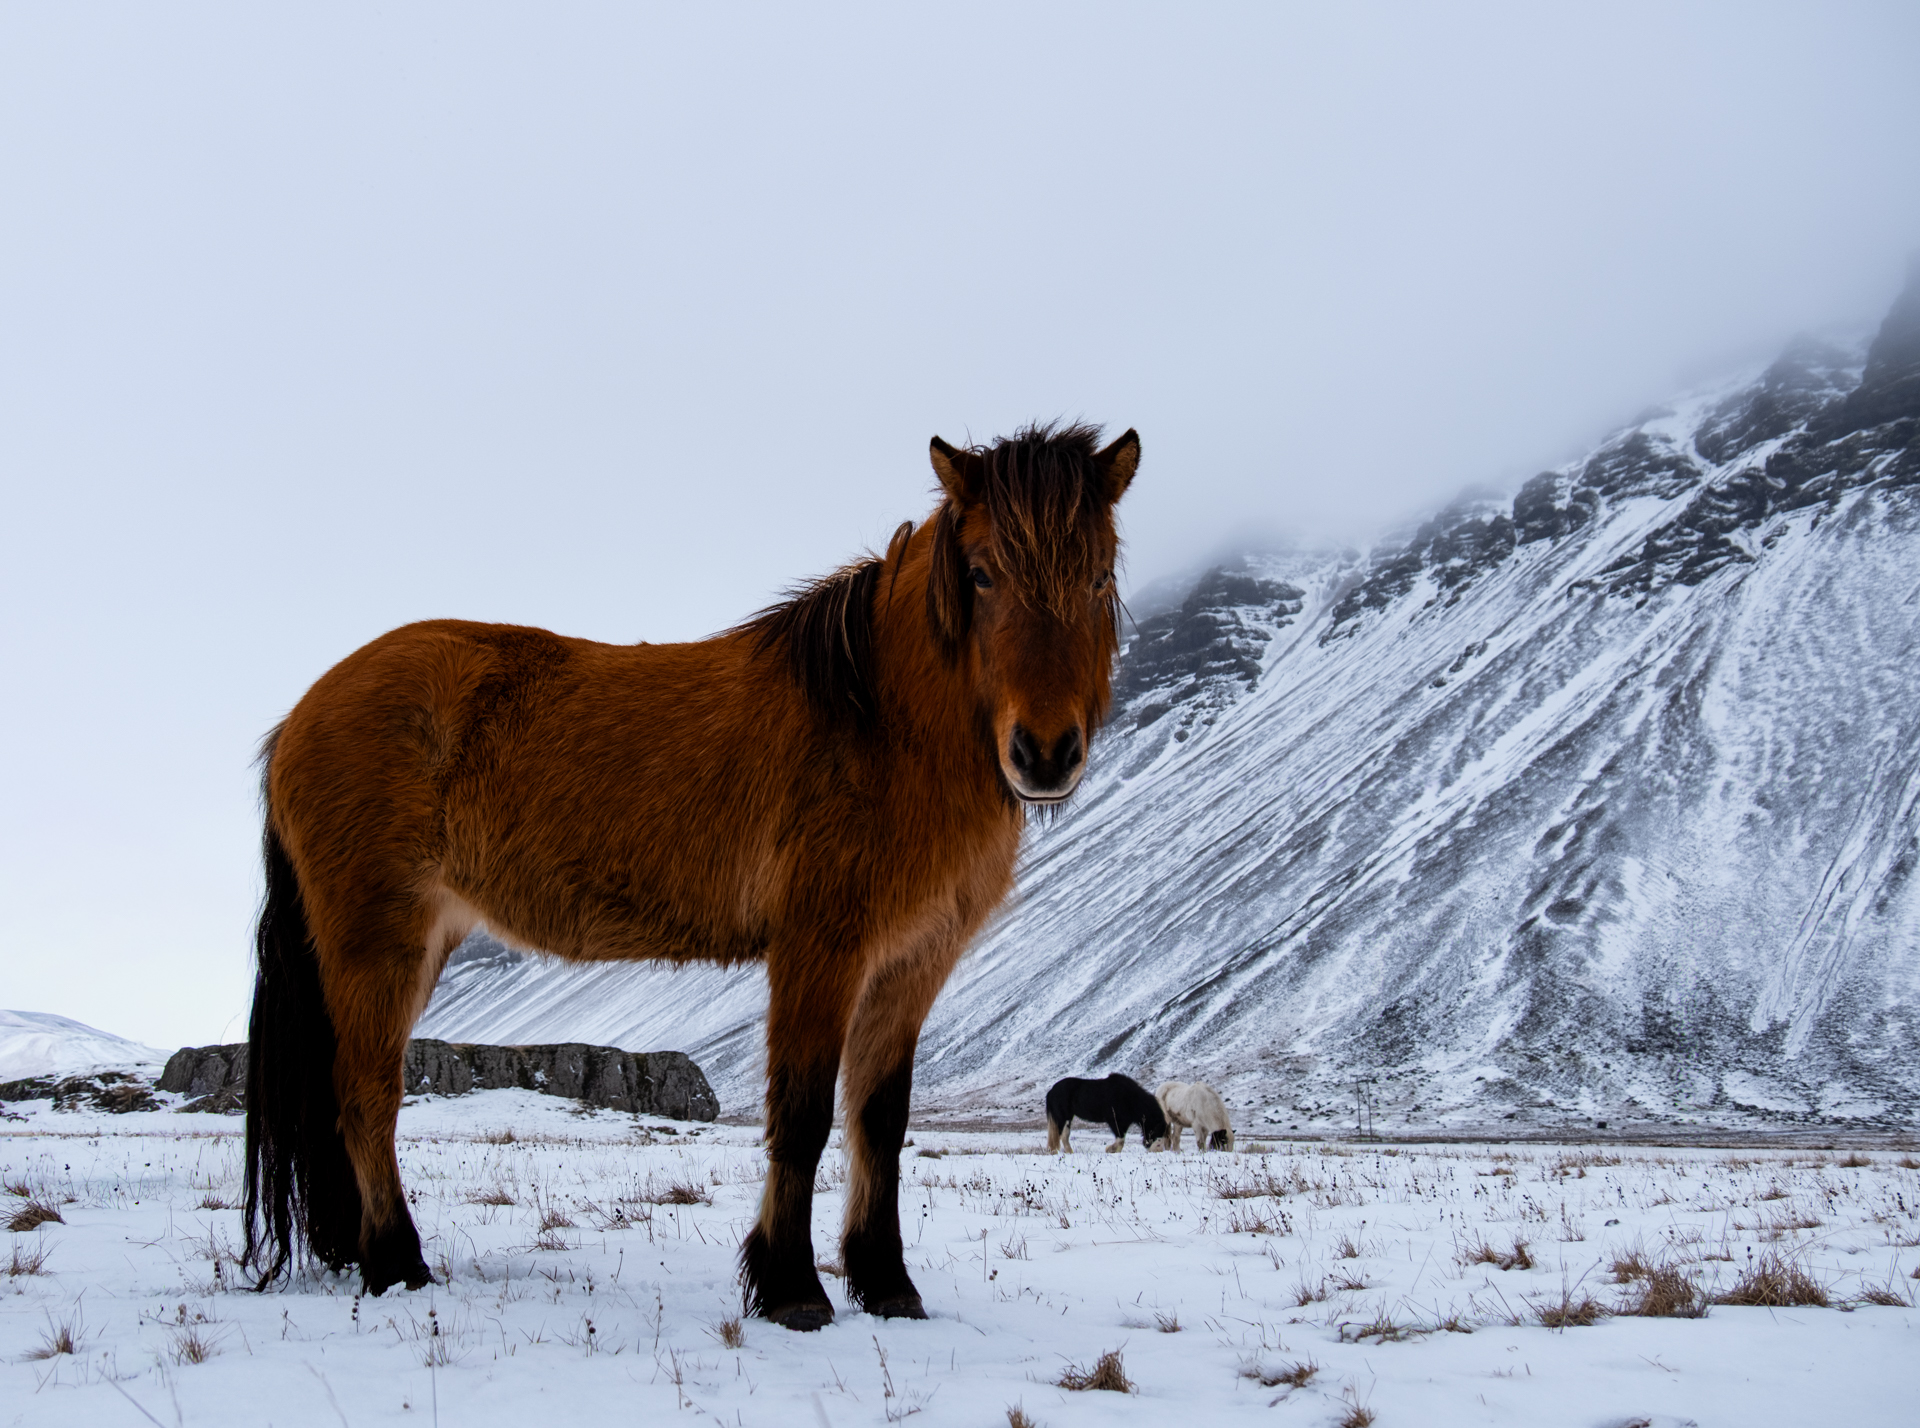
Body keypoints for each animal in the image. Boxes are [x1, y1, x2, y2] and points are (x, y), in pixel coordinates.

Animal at [240, 423, 1139, 1332]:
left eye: (1099, 575)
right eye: (983, 574)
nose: (1045, 753)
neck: (881, 728)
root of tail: (298, 719)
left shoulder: (911, 962)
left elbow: (879, 1122)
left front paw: (886, 1282)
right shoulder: (818, 951)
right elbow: (802, 1115)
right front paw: (791, 1286)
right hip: (376, 947)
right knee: (366, 1100)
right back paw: (398, 1263)